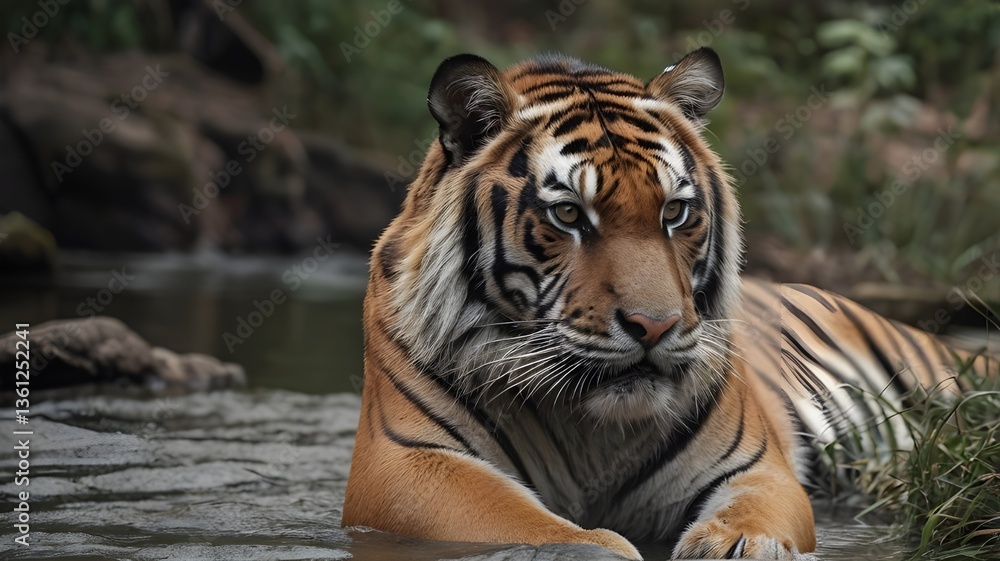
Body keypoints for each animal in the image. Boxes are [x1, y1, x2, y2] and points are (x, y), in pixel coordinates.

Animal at [341, 48, 997, 560]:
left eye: (675, 212)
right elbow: (534, 525)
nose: (654, 327)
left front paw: (740, 546)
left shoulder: (757, 466)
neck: (591, 430)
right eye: (569, 214)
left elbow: (757, 514)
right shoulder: (404, 466)